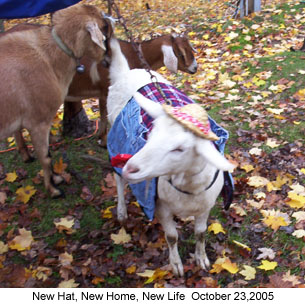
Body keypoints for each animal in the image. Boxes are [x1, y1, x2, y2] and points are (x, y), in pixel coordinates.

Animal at [0, 4, 113, 198]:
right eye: (104, 26)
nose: (108, 59)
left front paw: (56, 179)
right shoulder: (38, 121)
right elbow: (46, 157)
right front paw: (53, 189)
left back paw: (26, 156)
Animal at [105, 37, 234, 276]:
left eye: (179, 149)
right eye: (150, 133)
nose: (131, 167)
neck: (188, 189)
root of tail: (128, 71)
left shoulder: (205, 207)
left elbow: (201, 233)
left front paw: (201, 259)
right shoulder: (161, 207)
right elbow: (172, 236)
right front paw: (176, 265)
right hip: (114, 136)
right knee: (117, 180)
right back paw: (121, 210)